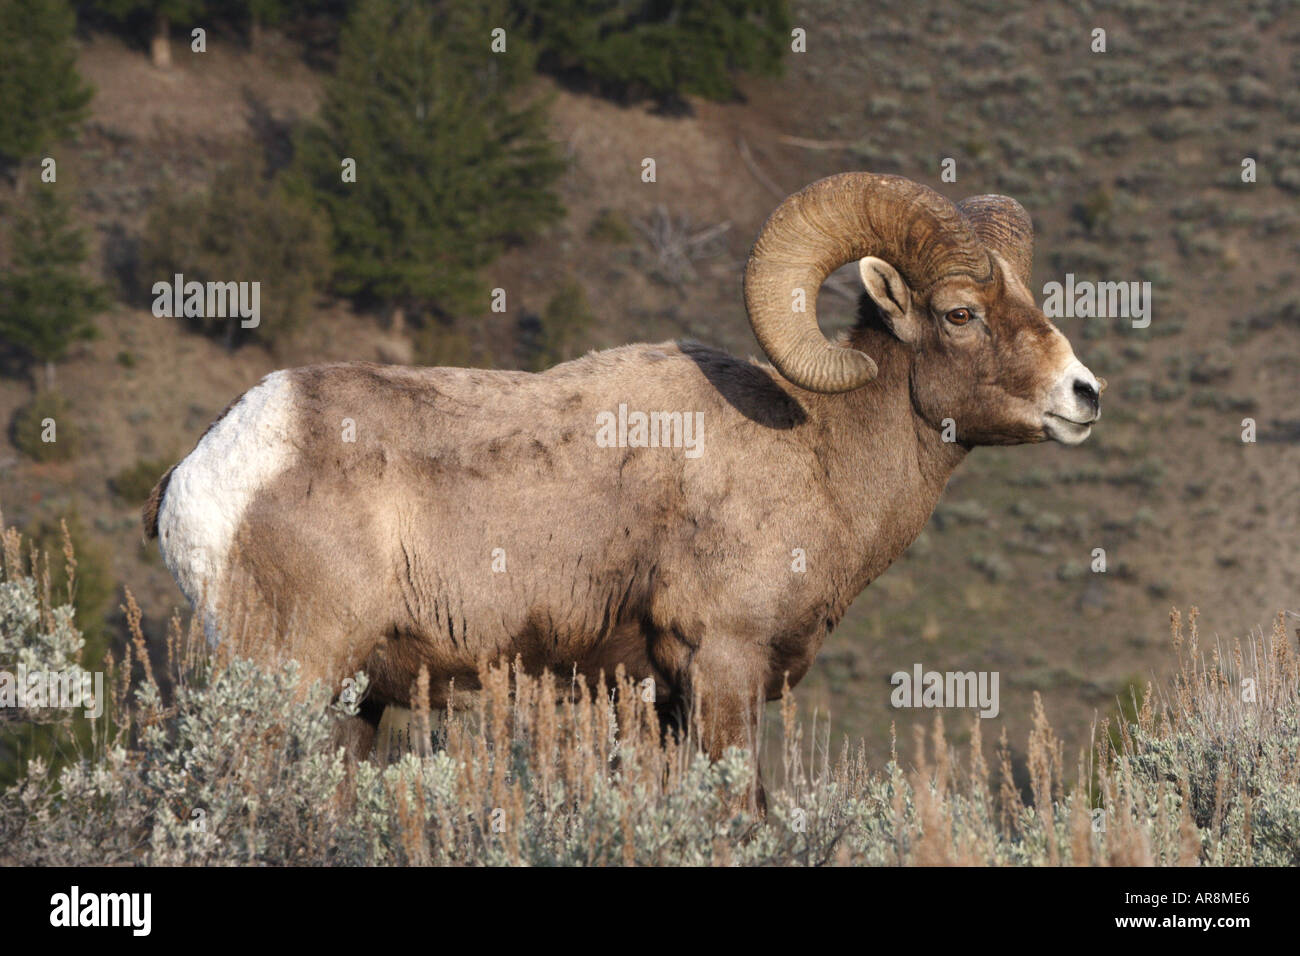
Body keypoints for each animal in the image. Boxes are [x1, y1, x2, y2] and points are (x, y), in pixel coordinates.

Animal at [143, 172, 1103, 788]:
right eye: (960, 314)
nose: (1083, 395)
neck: (816, 454)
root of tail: (209, 467)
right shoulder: (720, 668)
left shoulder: (649, 701)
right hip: (290, 673)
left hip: (355, 706)